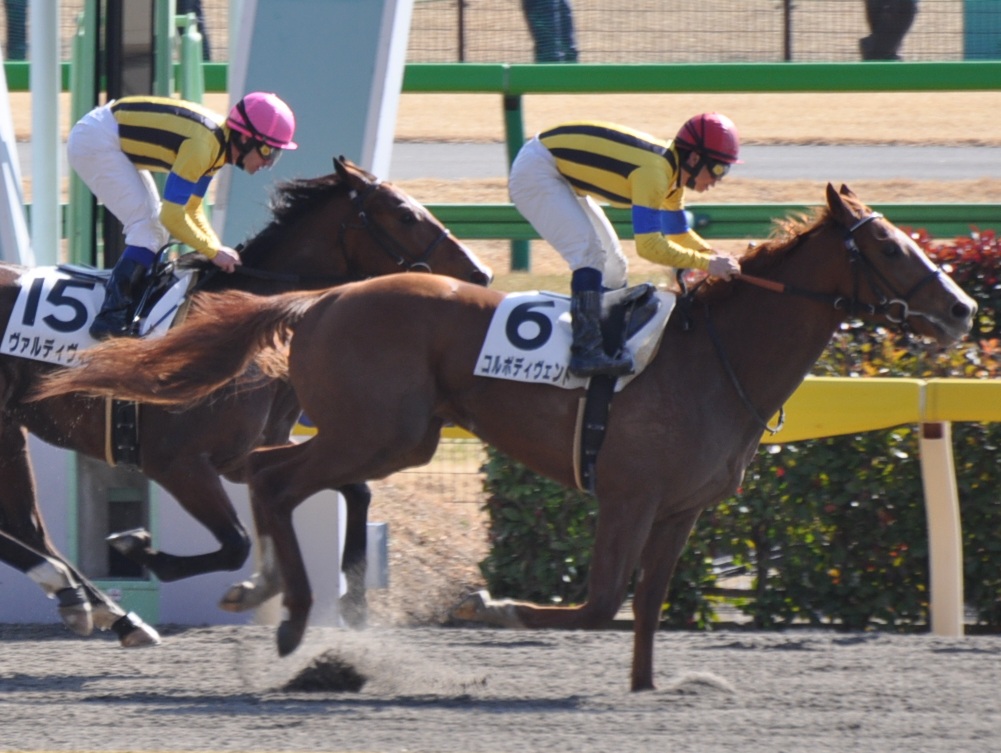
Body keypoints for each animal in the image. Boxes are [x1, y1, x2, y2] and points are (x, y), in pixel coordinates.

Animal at [4, 156, 491, 644]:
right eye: (405, 215)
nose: (480, 275)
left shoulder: (243, 455)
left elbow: (356, 490)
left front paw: (353, 602)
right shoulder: (176, 463)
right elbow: (236, 543)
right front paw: (140, 549)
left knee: (27, 526)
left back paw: (105, 609)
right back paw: (80, 595)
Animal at [35, 184, 975, 689]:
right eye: (892, 249)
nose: (964, 309)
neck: (716, 355)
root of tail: (321, 297)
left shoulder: (681, 507)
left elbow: (645, 603)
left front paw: (651, 683)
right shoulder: (626, 492)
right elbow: (597, 603)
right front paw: (486, 604)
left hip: (388, 437)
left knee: (269, 470)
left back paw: (262, 594)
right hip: (380, 432)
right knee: (274, 477)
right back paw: (289, 615)